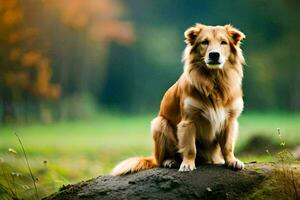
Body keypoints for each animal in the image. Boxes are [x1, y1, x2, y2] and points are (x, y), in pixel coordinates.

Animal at [111, 24, 245, 176]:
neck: (213, 81)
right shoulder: (188, 120)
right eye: (204, 42)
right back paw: (170, 161)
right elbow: (190, 148)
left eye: (224, 42)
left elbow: (228, 145)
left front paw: (231, 161)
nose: (214, 54)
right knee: (162, 159)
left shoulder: (230, 120)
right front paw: (187, 164)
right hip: (159, 123)